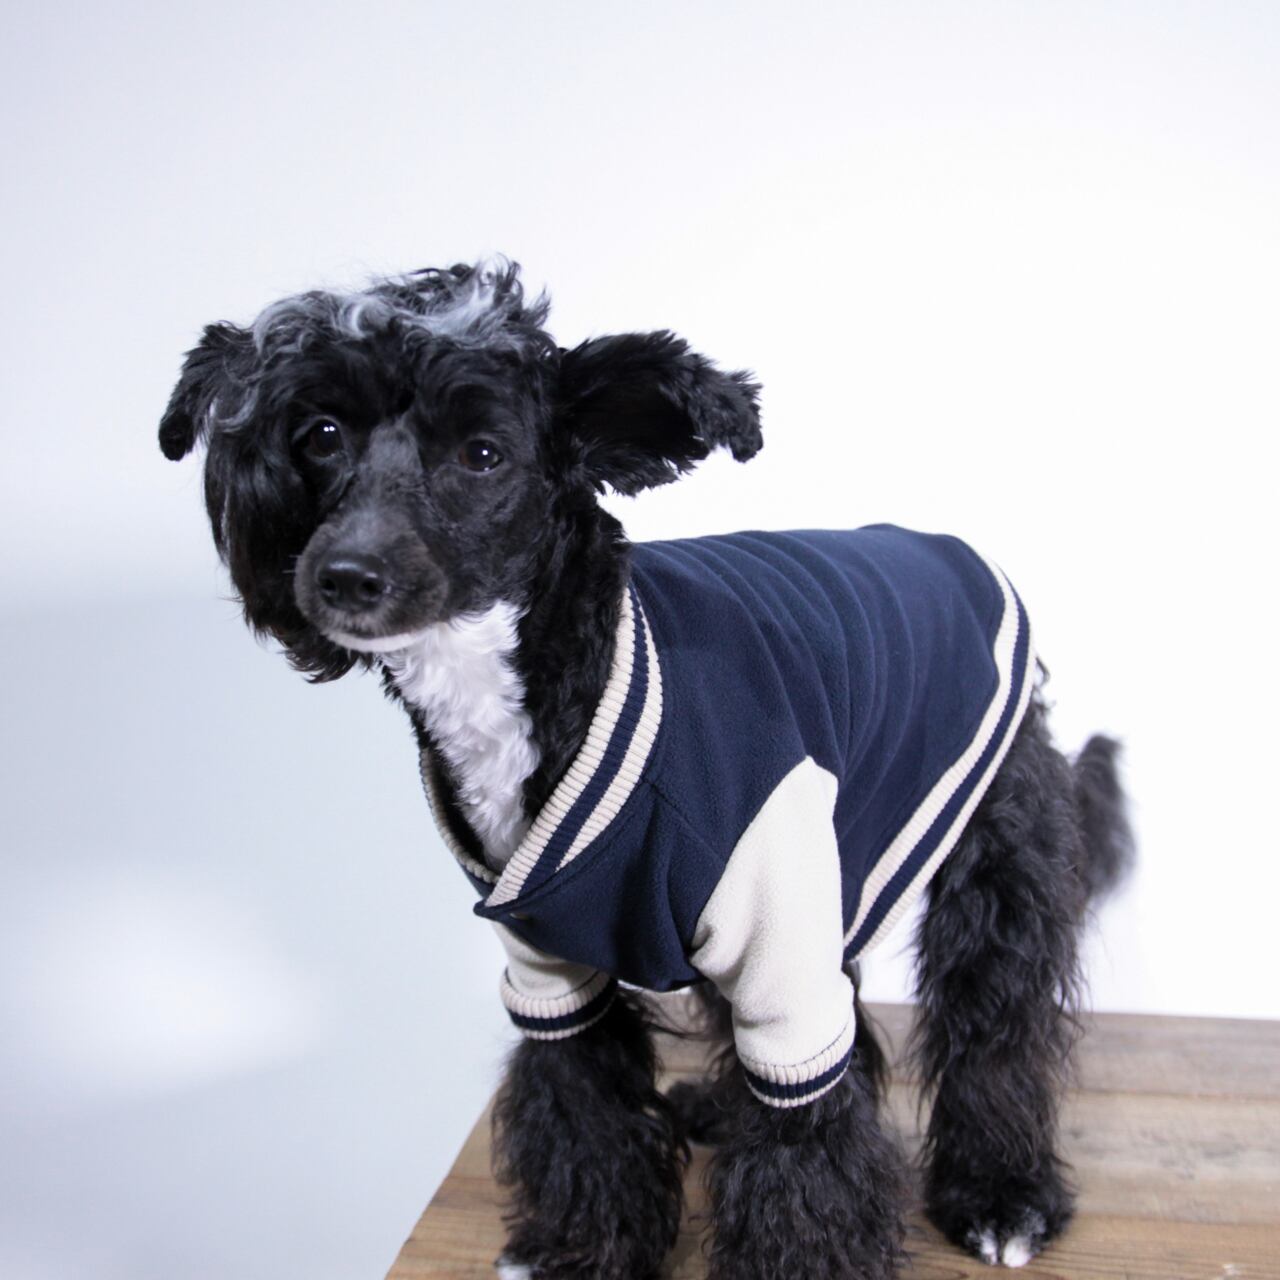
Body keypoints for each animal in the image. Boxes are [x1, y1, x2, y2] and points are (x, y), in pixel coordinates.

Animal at [159, 259, 1132, 1279]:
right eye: (321, 434)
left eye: (482, 454)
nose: (346, 575)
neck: (547, 675)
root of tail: (951, 551)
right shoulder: (549, 966)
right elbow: (586, 1110)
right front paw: (587, 1249)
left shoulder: (777, 935)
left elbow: (804, 1141)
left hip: (990, 862)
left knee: (996, 1026)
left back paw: (1001, 1193)